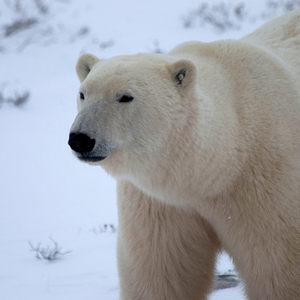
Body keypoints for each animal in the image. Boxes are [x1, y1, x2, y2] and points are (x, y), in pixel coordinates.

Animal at [68, 9, 300, 300]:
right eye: (83, 94)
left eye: (125, 96)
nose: (80, 139)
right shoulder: (161, 204)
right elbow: (162, 272)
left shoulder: (268, 187)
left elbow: (278, 269)